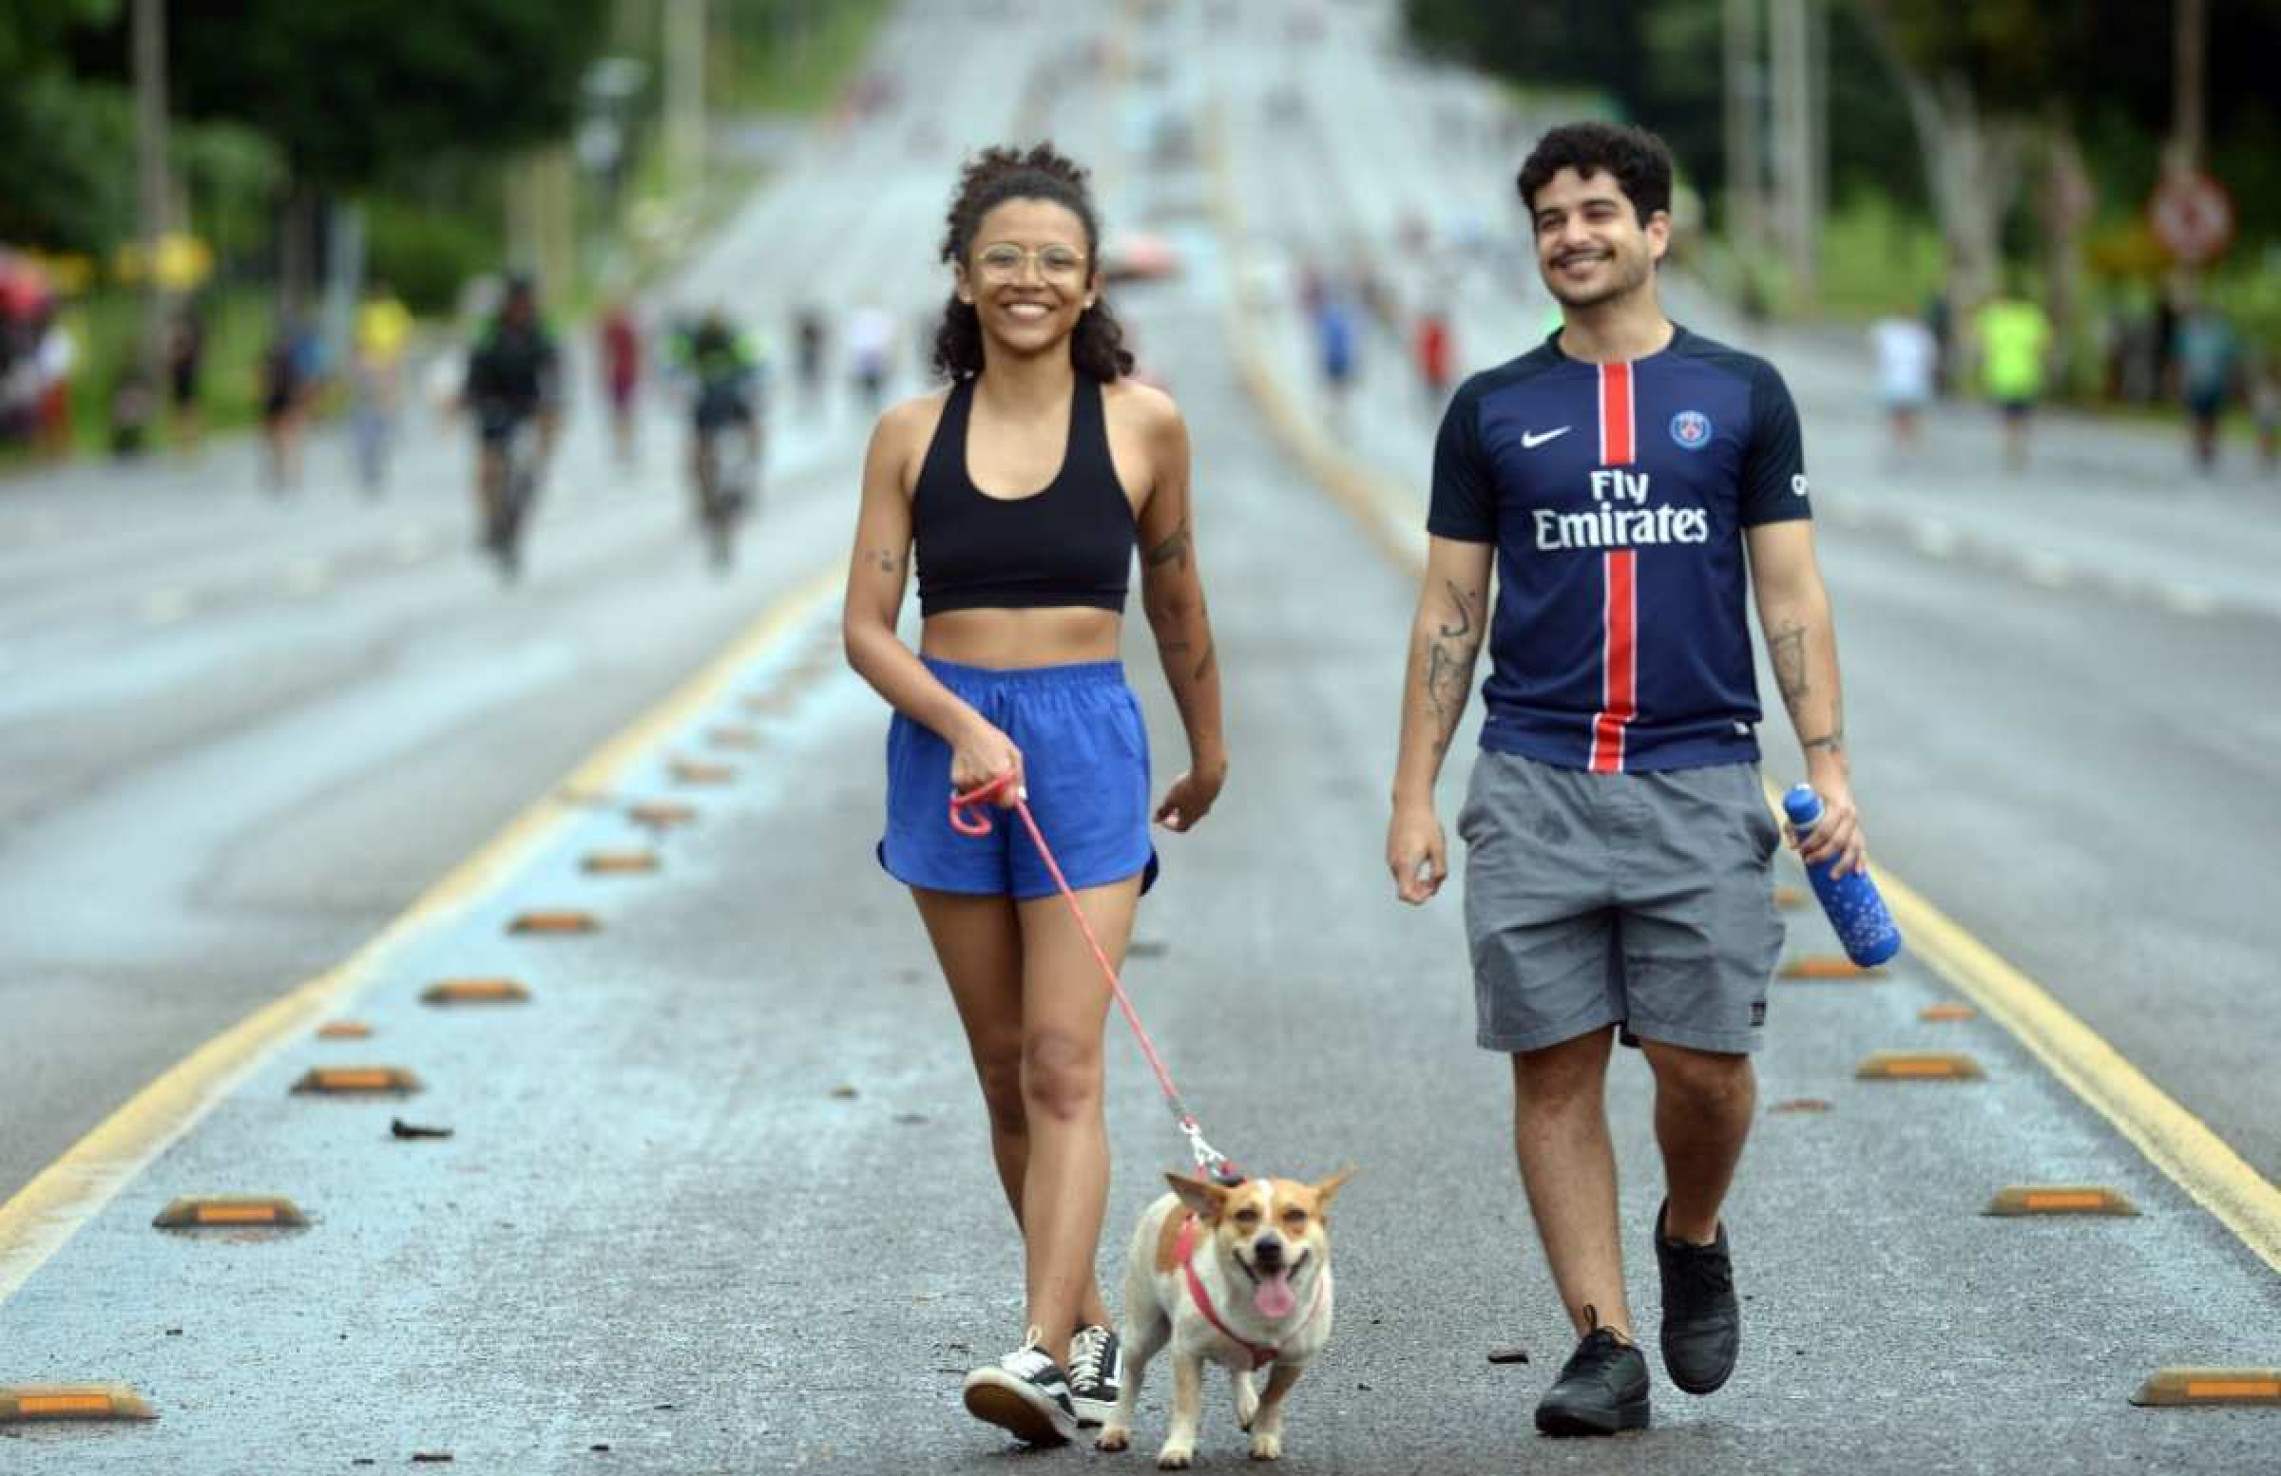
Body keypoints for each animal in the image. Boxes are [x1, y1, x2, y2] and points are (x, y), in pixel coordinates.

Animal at [1099, 1168, 1350, 1469]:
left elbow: (1272, 1399)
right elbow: (1187, 1405)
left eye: (1295, 1215)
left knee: (1239, 1368)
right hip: (1144, 1330)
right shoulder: (1187, 1352)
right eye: (1245, 1214)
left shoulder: (1294, 1361)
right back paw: (1116, 1427)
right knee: (1132, 1378)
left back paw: (1247, 1403)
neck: (1256, 1309)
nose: (1268, 1245)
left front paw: (1264, 1435)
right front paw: (1178, 1447)